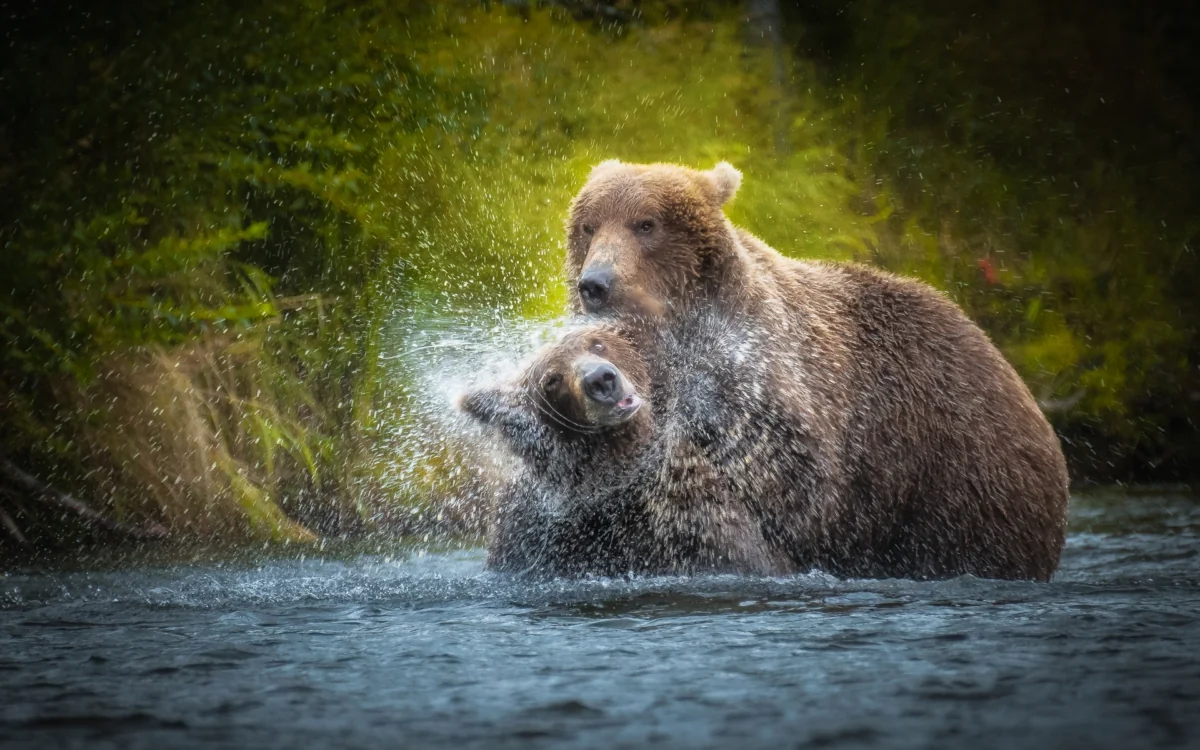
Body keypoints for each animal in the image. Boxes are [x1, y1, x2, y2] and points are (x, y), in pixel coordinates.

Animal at [562, 160, 1070, 581]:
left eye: (645, 223)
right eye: (589, 225)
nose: (596, 283)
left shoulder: (783, 387)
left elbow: (799, 488)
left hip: (960, 476)